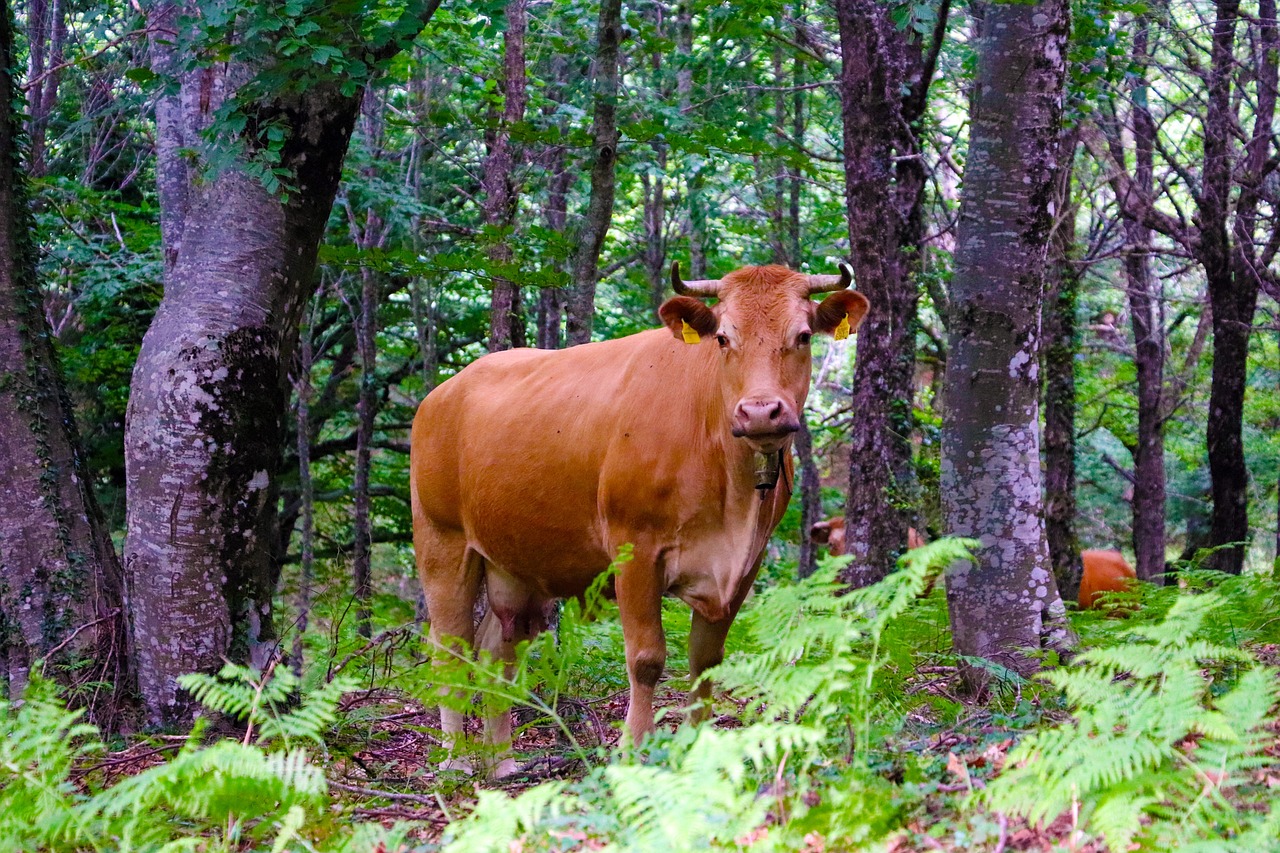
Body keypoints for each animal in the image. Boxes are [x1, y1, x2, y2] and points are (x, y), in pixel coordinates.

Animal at [409, 261, 870, 768]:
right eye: (723, 338)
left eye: (804, 335)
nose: (760, 412)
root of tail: (442, 393)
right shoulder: (636, 552)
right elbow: (646, 659)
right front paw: (633, 750)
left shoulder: (745, 564)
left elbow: (706, 660)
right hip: (442, 542)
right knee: (449, 650)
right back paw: (455, 761)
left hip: (517, 564)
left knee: (498, 651)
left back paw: (503, 763)